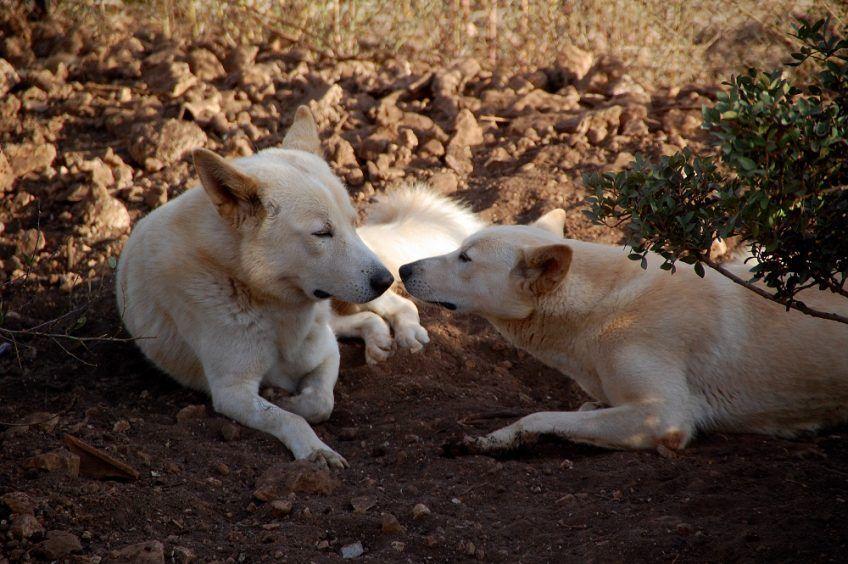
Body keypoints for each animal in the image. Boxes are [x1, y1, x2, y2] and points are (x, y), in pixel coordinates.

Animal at [116, 106, 480, 468]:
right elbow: (291, 418)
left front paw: (292, 402)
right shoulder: (232, 392)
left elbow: (320, 403)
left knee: (397, 306)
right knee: (362, 320)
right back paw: (378, 339)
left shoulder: (325, 353)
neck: (268, 304)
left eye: (352, 223)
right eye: (322, 233)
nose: (386, 278)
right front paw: (315, 449)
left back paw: (407, 332)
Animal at [400, 212, 848, 454]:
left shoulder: (663, 415)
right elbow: (578, 411)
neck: (599, 308)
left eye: (465, 258)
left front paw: (495, 440)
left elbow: (538, 415)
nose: (403, 269)